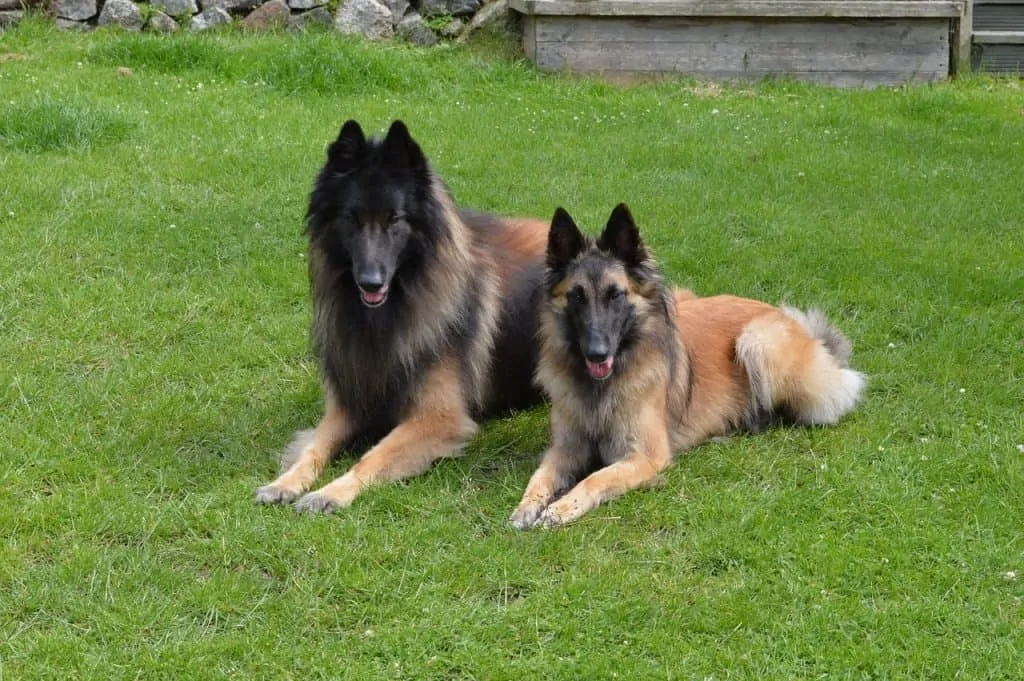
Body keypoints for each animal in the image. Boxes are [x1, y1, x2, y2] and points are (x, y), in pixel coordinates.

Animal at [258, 119, 552, 512]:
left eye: (394, 219)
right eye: (351, 219)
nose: (370, 281)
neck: (386, 316)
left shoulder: (438, 419)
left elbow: (373, 457)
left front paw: (329, 493)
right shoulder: (347, 405)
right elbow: (313, 448)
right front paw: (285, 483)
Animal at [507, 204, 868, 528]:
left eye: (616, 295)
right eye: (578, 296)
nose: (597, 353)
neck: (600, 387)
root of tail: (794, 322)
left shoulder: (644, 456)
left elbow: (594, 479)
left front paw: (561, 508)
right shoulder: (565, 448)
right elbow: (540, 476)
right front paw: (527, 507)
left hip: (758, 341)